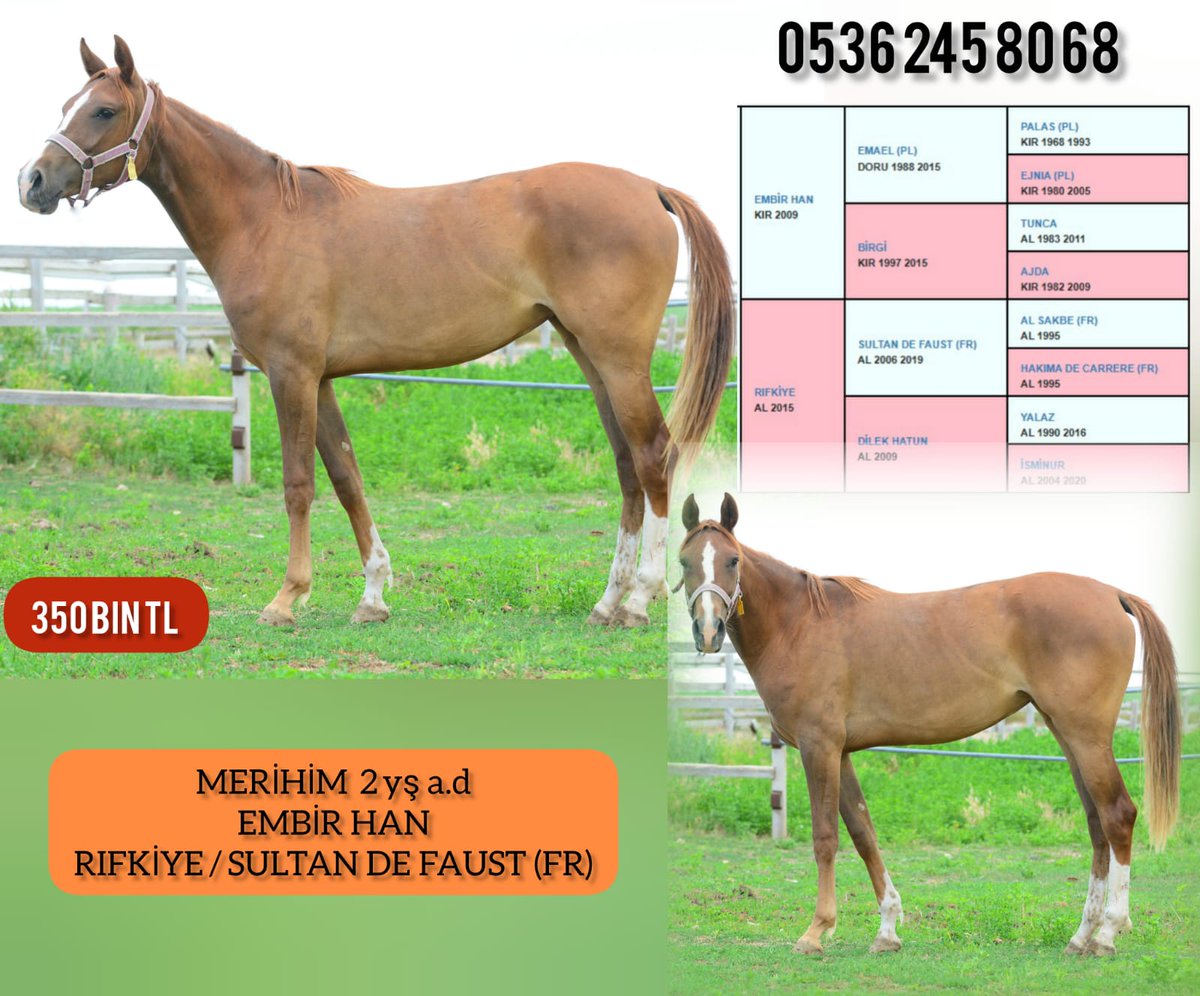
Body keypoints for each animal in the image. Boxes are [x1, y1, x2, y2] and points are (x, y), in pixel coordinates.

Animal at [17, 36, 733, 629]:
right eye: (67, 104)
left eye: (104, 111)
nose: (33, 182)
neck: (264, 219)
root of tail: (650, 189)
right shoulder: (322, 379)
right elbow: (346, 479)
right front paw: (372, 595)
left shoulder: (291, 374)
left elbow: (299, 486)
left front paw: (287, 599)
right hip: (589, 354)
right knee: (627, 466)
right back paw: (607, 603)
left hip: (617, 358)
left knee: (654, 457)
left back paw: (638, 601)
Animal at [675, 493, 1181, 957]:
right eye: (684, 562)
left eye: (733, 560)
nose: (708, 632)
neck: (798, 623)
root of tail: (1111, 593)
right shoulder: (841, 752)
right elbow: (863, 834)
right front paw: (887, 930)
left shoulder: (820, 747)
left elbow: (825, 837)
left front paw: (817, 931)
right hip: (1066, 732)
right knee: (1096, 822)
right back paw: (1081, 935)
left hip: (1086, 736)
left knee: (1118, 816)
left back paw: (1109, 933)